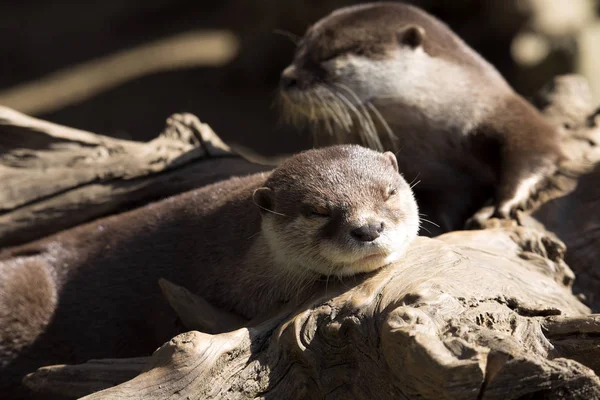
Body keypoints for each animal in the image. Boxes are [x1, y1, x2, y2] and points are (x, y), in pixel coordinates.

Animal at [278, 2, 564, 234]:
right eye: (299, 52)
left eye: (332, 55)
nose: (287, 77)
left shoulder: (504, 109)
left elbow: (536, 145)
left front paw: (499, 204)